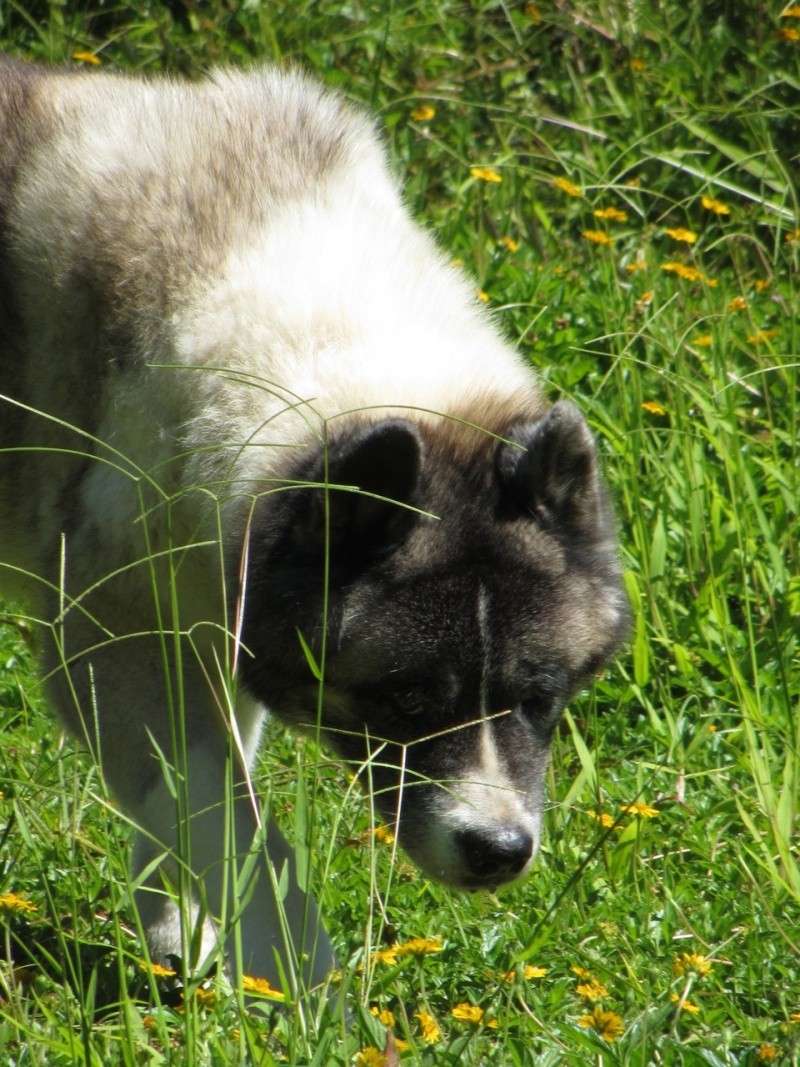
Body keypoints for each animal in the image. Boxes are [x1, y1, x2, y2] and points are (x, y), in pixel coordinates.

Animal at [0, 56, 631, 990]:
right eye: (405, 698)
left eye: (538, 697)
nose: (498, 848)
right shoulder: (114, 635)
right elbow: (231, 829)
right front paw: (314, 997)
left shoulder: (218, 605)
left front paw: (181, 940)